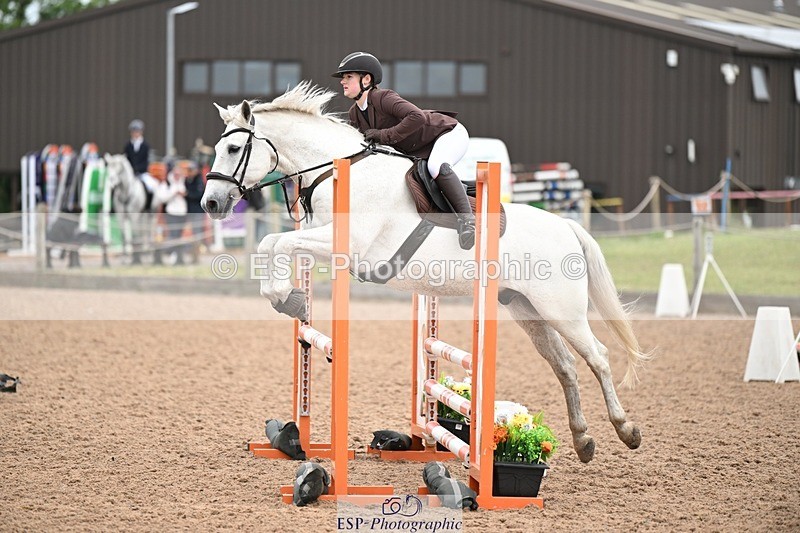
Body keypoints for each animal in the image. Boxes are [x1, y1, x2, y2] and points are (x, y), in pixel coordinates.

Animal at [201, 82, 650, 463]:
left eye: (235, 148)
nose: (210, 203)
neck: (337, 170)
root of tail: (567, 226)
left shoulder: (345, 245)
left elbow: (274, 243)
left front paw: (286, 297)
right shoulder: (317, 237)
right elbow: (271, 244)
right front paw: (290, 299)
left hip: (561, 308)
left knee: (598, 356)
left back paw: (626, 430)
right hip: (527, 310)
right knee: (566, 366)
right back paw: (583, 439)